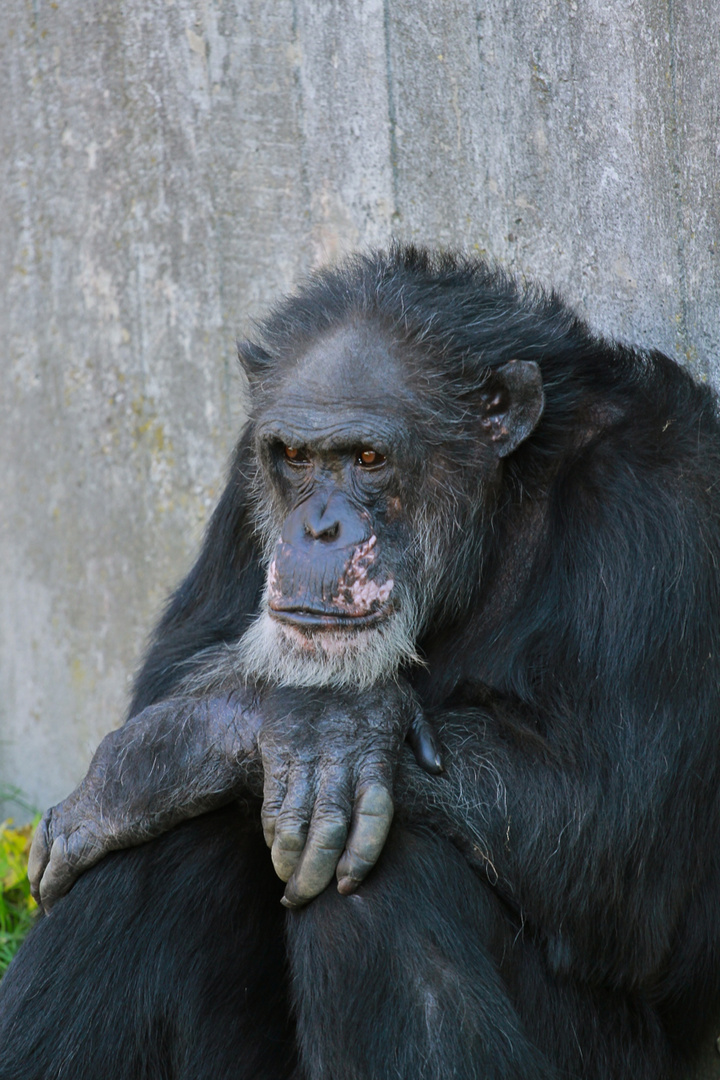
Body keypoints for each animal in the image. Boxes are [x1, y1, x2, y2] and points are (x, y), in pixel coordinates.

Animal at [1, 247, 720, 1080]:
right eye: (296, 457)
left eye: (369, 458)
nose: (318, 528)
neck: (504, 502)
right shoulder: (246, 472)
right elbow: (164, 681)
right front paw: (223, 739)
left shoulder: (659, 499)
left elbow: (616, 820)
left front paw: (323, 728)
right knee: (168, 834)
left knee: (389, 871)